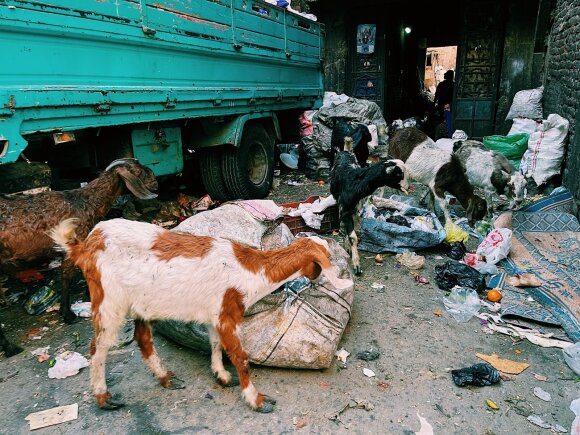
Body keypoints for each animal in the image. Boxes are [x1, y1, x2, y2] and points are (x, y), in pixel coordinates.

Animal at [0, 159, 157, 358]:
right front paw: (67, 314)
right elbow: (67, 278)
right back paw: (9, 347)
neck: (86, 202)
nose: (156, 181)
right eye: (140, 171)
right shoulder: (72, 244)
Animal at [49, 220, 352, 414]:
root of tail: (84, 246)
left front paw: (221, 376)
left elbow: (216, 344)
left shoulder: (214, 314)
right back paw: (103, 397)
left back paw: (166, 378)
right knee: (98, 347)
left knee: (143, 337)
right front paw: (256, 400)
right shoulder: (228, 312)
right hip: (109, 299)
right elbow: (240, 357)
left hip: (141, 302)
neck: (250, 270)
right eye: (325, 258)